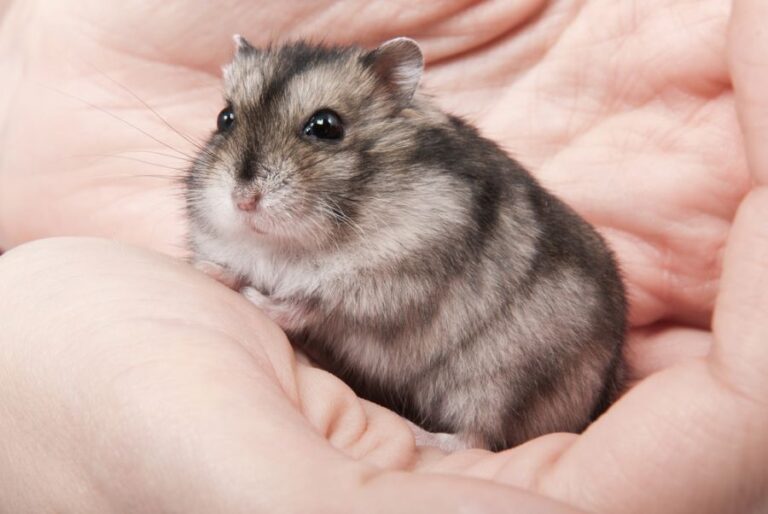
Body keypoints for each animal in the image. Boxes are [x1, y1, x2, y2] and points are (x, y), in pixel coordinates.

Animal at [185, 36, 627, 451]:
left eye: (326, 126)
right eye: (225, 118)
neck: (290, 244)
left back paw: (421, 436)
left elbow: (307, 305)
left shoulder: (389, 285)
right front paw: (207, 269)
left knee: (475, 438)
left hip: (500, 381)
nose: (243, 200)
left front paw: (252, 296)